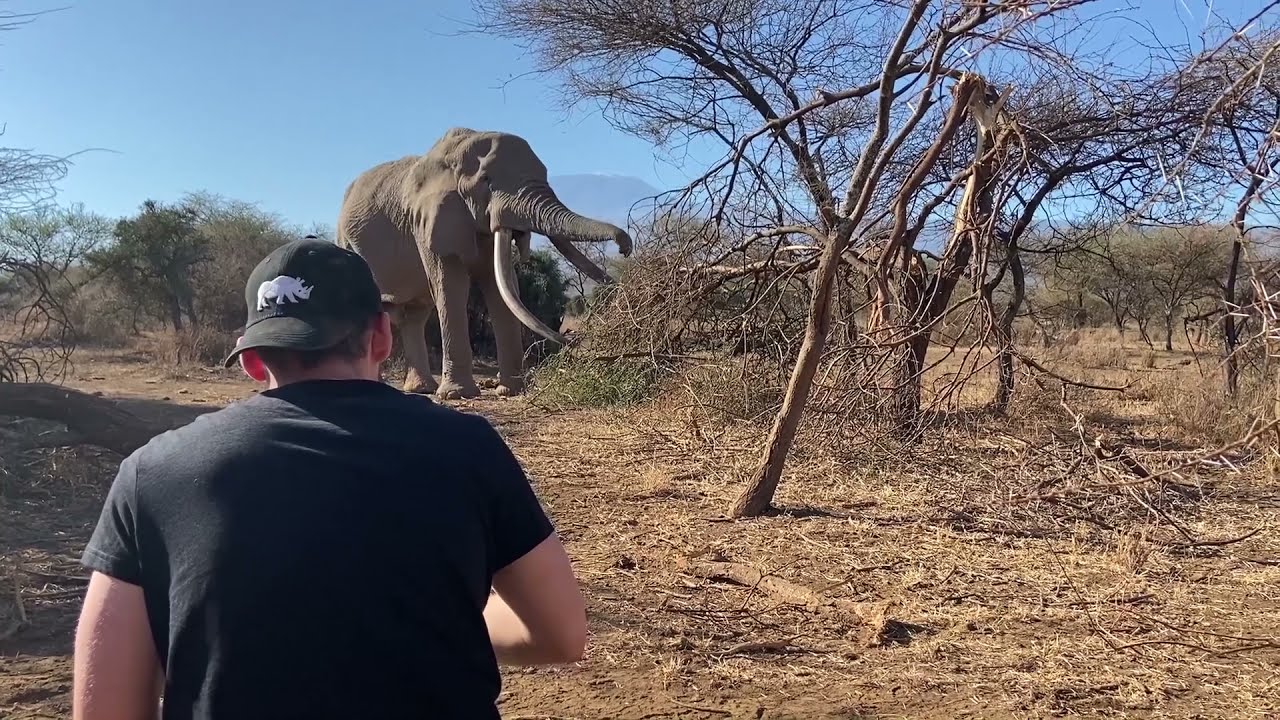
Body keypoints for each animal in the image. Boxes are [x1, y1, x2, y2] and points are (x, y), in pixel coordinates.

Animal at [335, 127, 633, 399]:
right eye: (487, 182)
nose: (625, 247)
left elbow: (501, 285)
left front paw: (511, 390)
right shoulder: (428, 220)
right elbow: (451, 287)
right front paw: (457, 395)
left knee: (416, 314)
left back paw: (421, 389)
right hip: (346, 241)